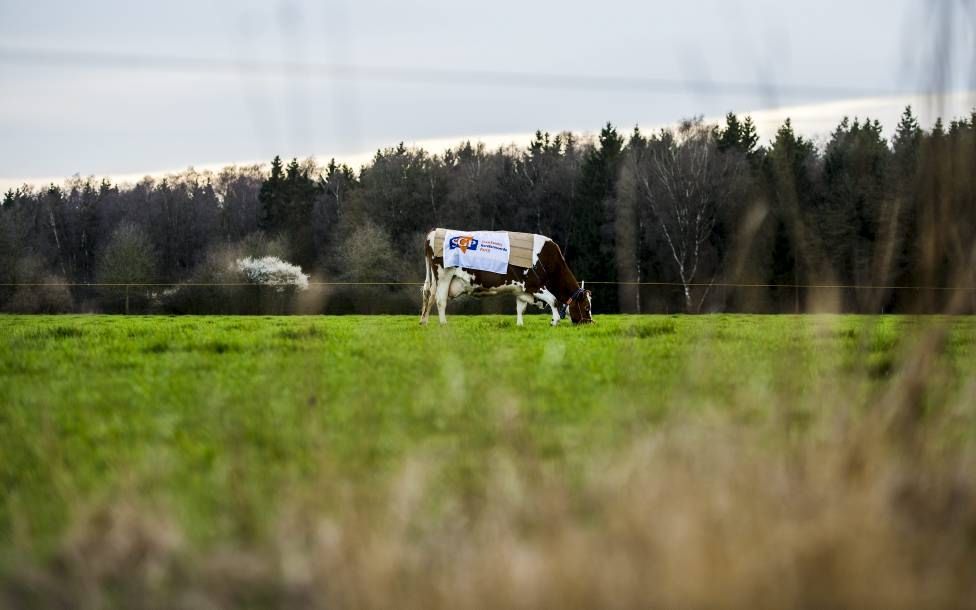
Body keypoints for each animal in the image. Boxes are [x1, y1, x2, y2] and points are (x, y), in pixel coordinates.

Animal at [422, 227, 596, 324]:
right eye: (587, 307)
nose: (589, 323)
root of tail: (435, 231)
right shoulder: (534, 285)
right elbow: (553, 300)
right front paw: (555, 321)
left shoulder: (521, 290)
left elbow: (520, 309)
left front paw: (520, 325)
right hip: (444, 276)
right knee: (440, 300)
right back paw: (443, 324)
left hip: (435, 280)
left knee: (429, 296)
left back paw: (424, 322)